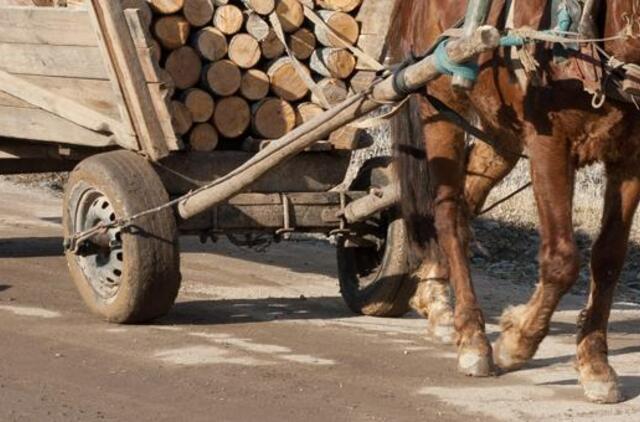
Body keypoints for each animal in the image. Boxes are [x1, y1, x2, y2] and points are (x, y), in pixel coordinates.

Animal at [388, 0, 640, 402]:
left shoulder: (630, 158)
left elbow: (609, 260)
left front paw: (595, 364)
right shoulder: (548, 143)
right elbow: (562, 260)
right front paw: (517, 340)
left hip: (499, 131)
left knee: (466, 203)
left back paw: (436, 299)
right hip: (440, 103)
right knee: (447, 213)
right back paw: (473, 339)